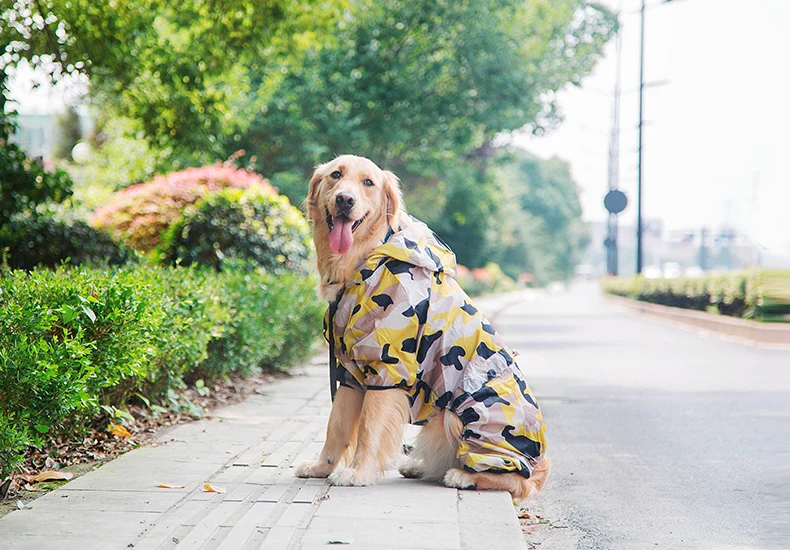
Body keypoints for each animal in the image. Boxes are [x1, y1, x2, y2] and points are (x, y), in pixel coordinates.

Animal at [296, 154, 552, 500]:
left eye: (368, 183)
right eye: (336, 175)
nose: (345, 200)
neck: (364, 261)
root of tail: (538, 460)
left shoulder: (387, 366)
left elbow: (369, 427)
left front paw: (358, 472)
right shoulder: (349, 371)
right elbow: (336, 425)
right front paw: (322, 466)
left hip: (465, 418)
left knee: (517, 480)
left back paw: (463, 475)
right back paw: (421, 467)